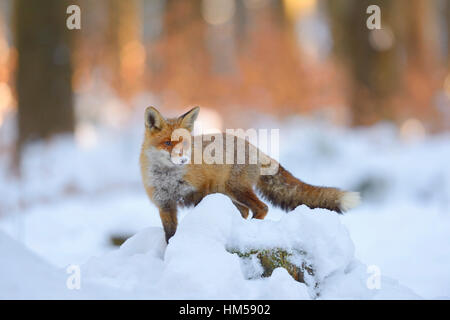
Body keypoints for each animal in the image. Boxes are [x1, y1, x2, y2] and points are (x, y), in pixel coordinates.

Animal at [139, 106, 360, 241]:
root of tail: (254, 147)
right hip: (229, 193)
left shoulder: (201, 192)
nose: (184, 159)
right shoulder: (165, 205)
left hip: (235, 189)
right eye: (168, 143)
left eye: (184, 143)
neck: (169, 178)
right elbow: (169, 236)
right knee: (246, 211)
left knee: (262, 208)